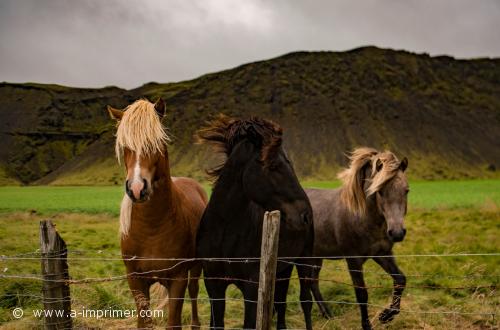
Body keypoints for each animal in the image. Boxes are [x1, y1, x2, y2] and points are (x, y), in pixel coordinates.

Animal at [107, 98, 207, 330]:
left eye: (156, 143)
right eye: (125, 146)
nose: (136, 189)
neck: (152, 228)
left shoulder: (178, 278)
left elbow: (174, 322)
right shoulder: (135, 279)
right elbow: (144, 322)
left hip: (196, 267)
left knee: (194, 290)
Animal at [194, 114, 312, 330]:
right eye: (274, 166)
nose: (305, 215)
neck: (224, 232)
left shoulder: (252, 288)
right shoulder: (214, 285)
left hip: (304, 262)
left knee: (305, 302)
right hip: (282, 269)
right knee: (280, 304)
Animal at [306, 148, 408, 330]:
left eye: (406, 190)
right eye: (380, 191)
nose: (397, 233)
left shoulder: (382, 254)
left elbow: (400, 280)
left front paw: (386, 316)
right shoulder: (353, 260)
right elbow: (361, 294)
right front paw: (367, 325)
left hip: (316, 257)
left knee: (313, 281)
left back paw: (328, 314)